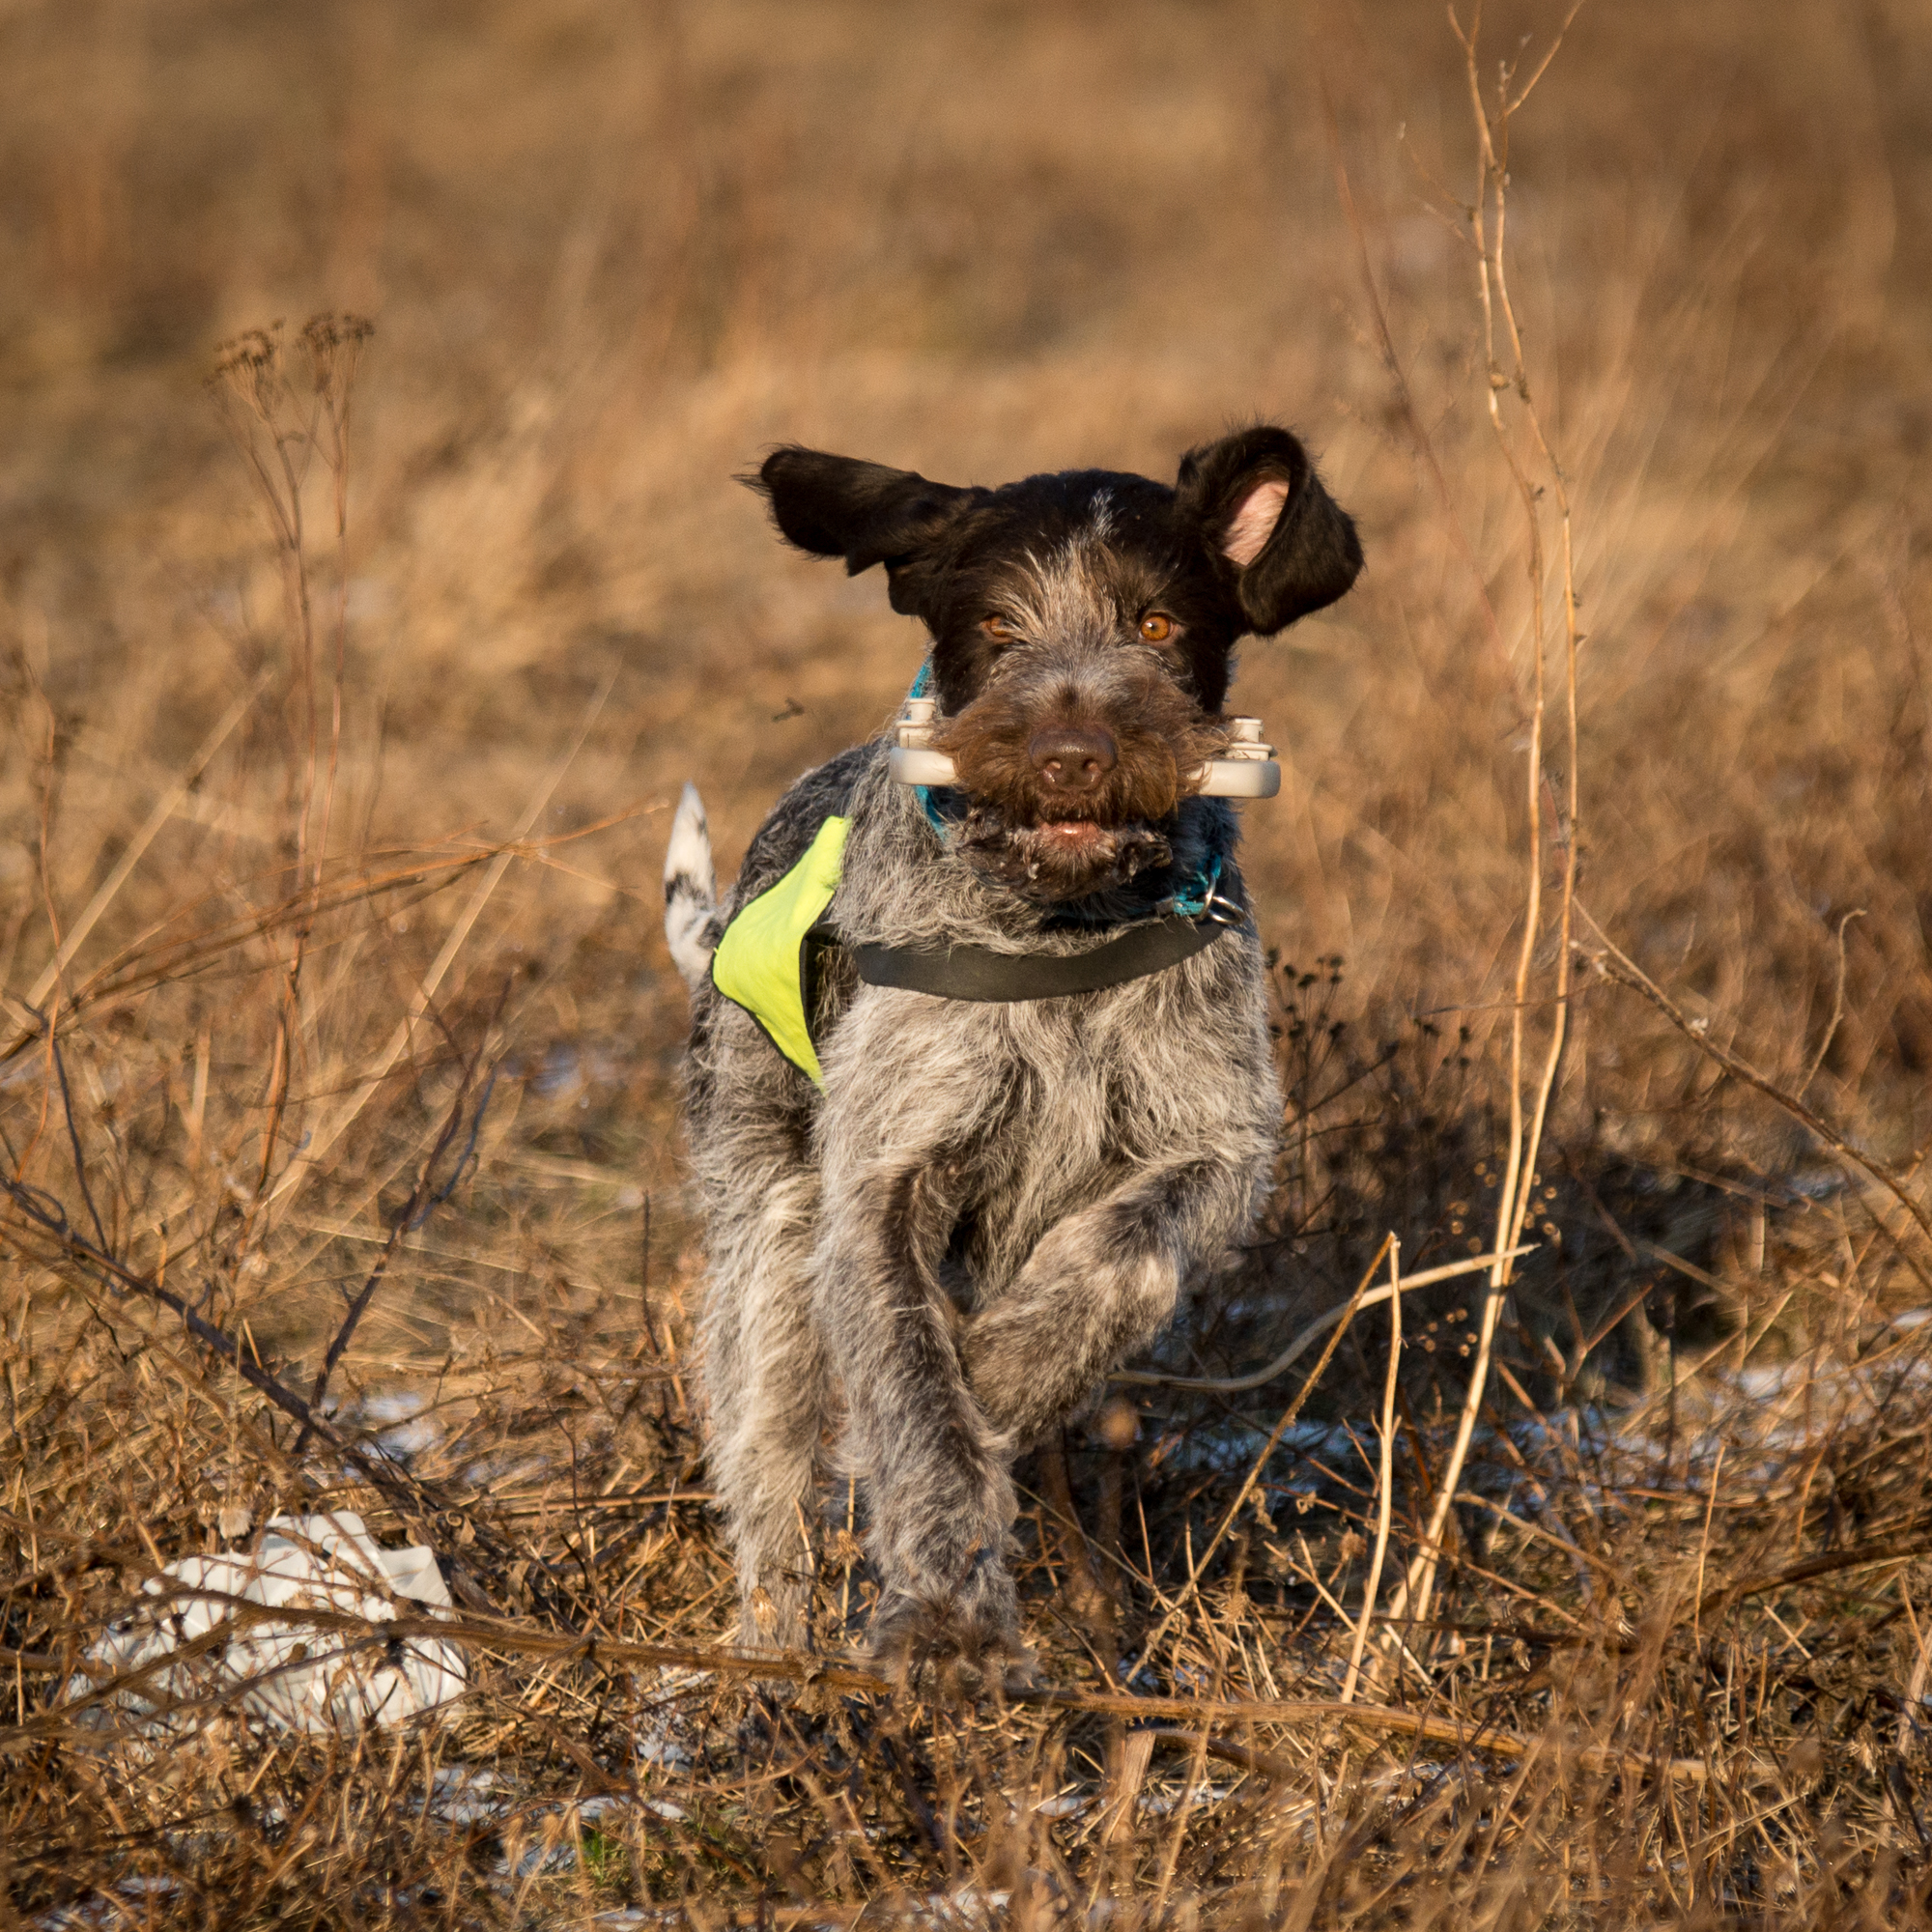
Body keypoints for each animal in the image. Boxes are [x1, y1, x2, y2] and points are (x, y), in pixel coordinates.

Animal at [665, 427, 1360, 1692]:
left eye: (1153, 623)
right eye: (994, 624)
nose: (1070, 758)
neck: (1061, 930)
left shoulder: (1215, 1141)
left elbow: (1120, 1260)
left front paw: (1005, 1369)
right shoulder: (881, 1183)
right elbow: (913, 1390)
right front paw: (947, 1612)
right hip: (768, 1228)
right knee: (768, 1462)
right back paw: (770, 1656)